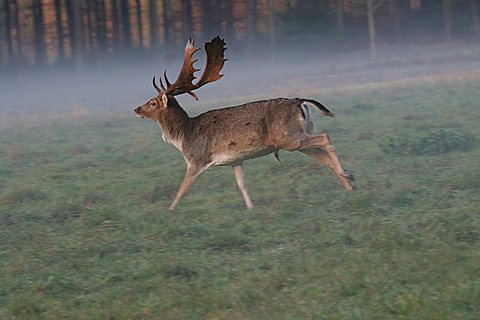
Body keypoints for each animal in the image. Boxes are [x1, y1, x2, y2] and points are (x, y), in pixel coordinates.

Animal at [134, 37, 352, 210]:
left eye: (153, 103)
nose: (136, 109)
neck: (183, 136)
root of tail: (301, 101)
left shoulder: (196, 159)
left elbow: (182, 190)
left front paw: (169, 211)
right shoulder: (235, 160)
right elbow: (242, 184)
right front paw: (250, 208)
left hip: (288, 138)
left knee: (325, 137)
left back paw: (346, 175)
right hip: (297, 139)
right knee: (323, 156)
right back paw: (350, 183)